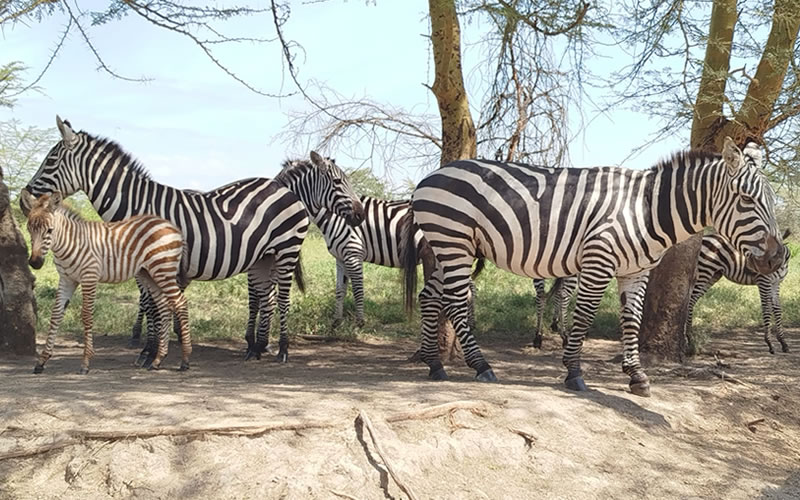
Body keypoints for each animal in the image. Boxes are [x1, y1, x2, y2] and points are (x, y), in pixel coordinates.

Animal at [22, 191, 190, 374]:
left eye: (50, 230)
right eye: (29, 229)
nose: (35, 263)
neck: (70, 243)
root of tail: (171, 226)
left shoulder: (89, 276)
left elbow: (87, 315)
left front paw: (86, 362)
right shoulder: (67, 279)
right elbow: (56, 315)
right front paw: (42, 361)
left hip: (163, 270)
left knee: (180, 303)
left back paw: (185, 360)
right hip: (149, 274)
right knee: (164, 306)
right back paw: (158, 360)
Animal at [403, 138, 783, 397]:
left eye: (772, 201)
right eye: (747, 200)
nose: (778, 259)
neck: (646, 211)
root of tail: (428, 177)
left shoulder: (636, 271)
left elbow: (631, 320)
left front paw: (636, 375)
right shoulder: (599, 260)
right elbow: (584, 316)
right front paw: (573, 372)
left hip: (446, 247)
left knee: (429, 298)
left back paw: (434, 364)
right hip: (454, 241)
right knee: (454, 301)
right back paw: (481, 365)